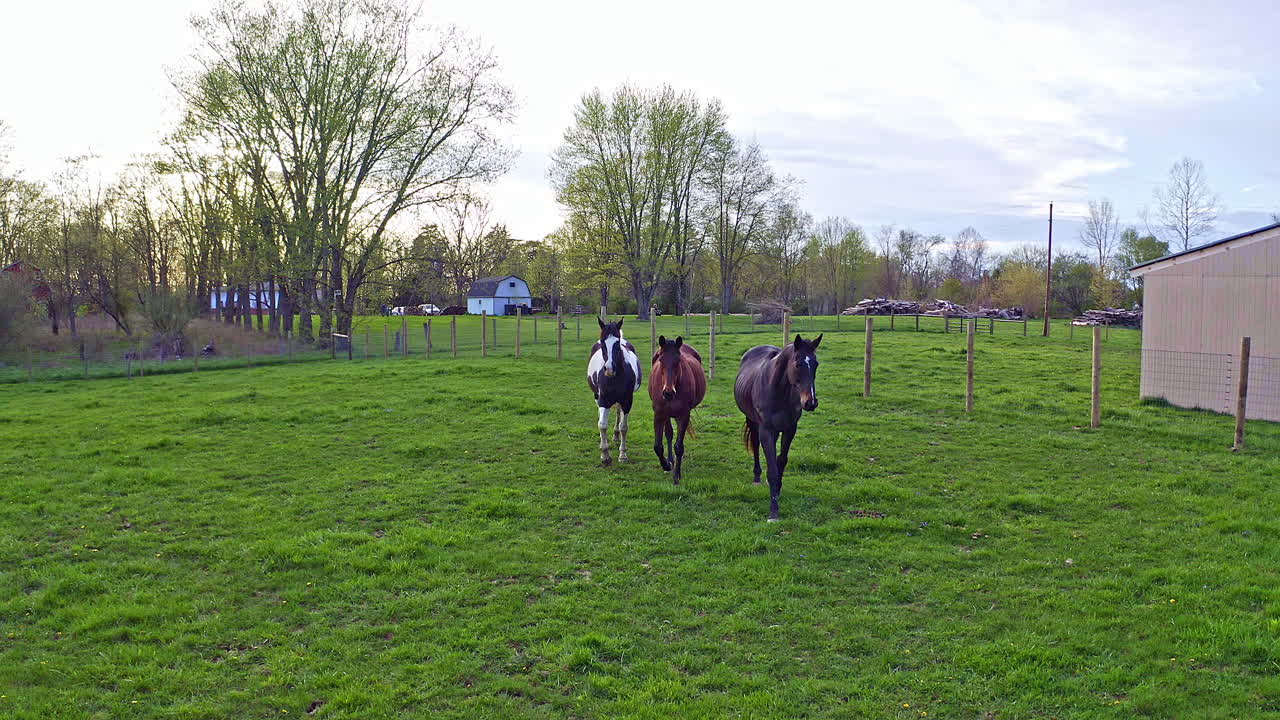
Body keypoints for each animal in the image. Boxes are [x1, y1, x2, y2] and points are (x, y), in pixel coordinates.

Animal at [586, 317, 642, 466]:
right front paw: (605, 455)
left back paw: (616, 436)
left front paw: (623, 455)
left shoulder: (627, 401)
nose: (609, 369)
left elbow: (623, 427)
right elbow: (602, 425)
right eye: (603, 343)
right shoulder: (603, 400)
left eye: (617, 344)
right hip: (597, 397)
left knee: (618, 413)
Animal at [648, 335, 706, 484]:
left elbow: (679, 447)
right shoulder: (659, 414)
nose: (668, 393)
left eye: (678, 361)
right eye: (661, 360)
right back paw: (670, 460)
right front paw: (667, 465)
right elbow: (658, 446)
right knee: (668, 433)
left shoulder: (684, 415)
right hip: (666, 415)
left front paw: (676, 476)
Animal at [733, 334, 823, 521]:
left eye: (816, 364)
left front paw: (777, 490)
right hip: (752, 421)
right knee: (755, 445)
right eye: (798, 364)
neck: (779, 392)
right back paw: (757, 476)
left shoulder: (790, 429)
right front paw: (773, 512)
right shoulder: (766, 430)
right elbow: (772, 469)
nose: (810, 402)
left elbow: (781, 461)